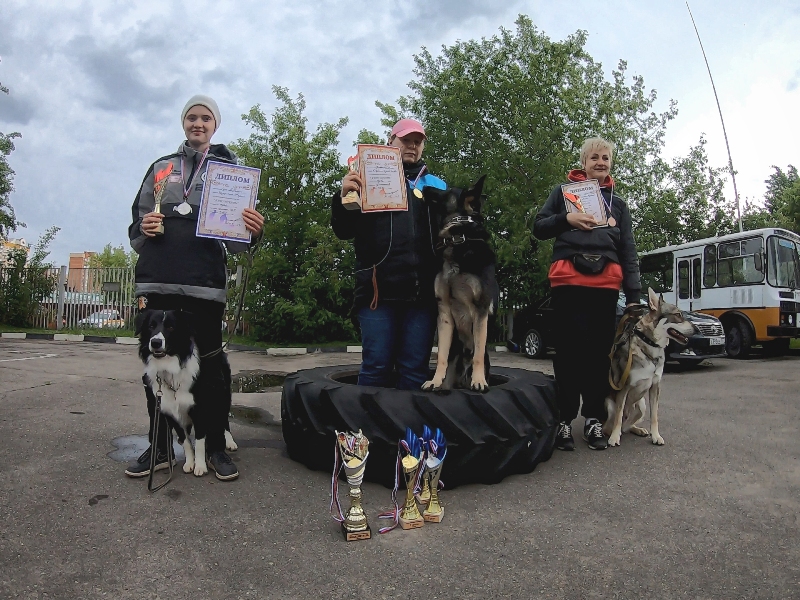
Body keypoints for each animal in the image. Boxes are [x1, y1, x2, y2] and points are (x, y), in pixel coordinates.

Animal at [422, 177, 496, 394]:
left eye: (447, 191)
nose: (424, 186)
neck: (458, 240)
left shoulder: (480, 310)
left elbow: (478, 354)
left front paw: (479, 381)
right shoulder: (444, 310)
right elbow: (441, 356)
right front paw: (435, 381)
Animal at [604, 288, 696, 448]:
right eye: (678, 315)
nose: (696, 328)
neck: (650, 344)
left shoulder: (655, 387)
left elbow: (654, 416)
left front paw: (656, 436)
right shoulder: (623, 388)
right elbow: (618, 417)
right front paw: (614, 438)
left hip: (641, 406)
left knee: (626, 426)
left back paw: (638, 429)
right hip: (609, 405)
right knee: (613, 425)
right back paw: (612, 433)